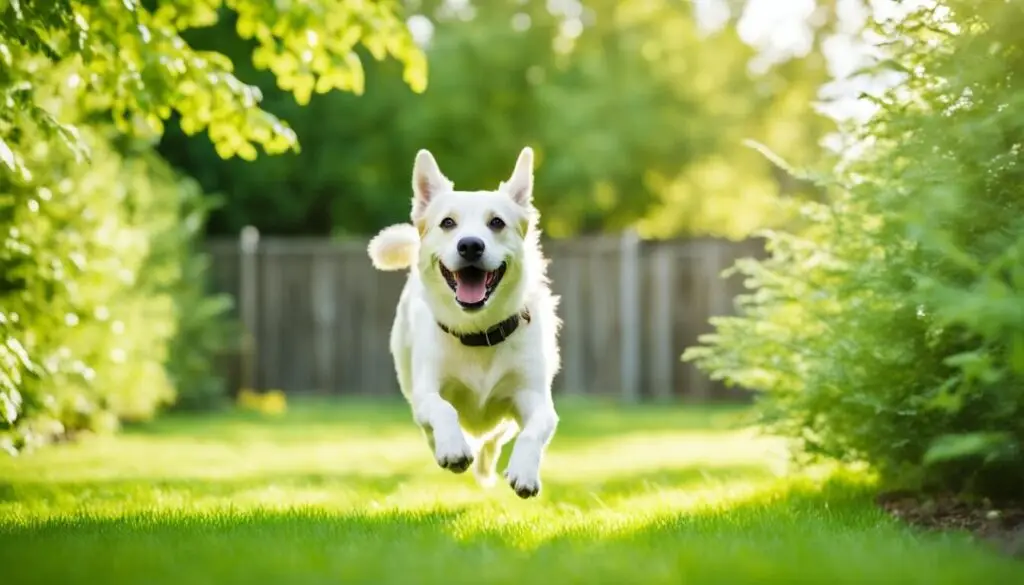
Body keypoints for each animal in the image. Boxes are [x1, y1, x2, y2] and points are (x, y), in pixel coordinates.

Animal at [366, 146, 561, 499]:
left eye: (497, 222)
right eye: (447, 223)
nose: (470, 244)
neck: (478, 333)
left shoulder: (534, 397)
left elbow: (535, 429)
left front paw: (525, 472)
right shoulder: (427, 391)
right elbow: (442, 409)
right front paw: (454, 449)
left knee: (493, 440)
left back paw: (485, 468)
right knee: (432, 427)